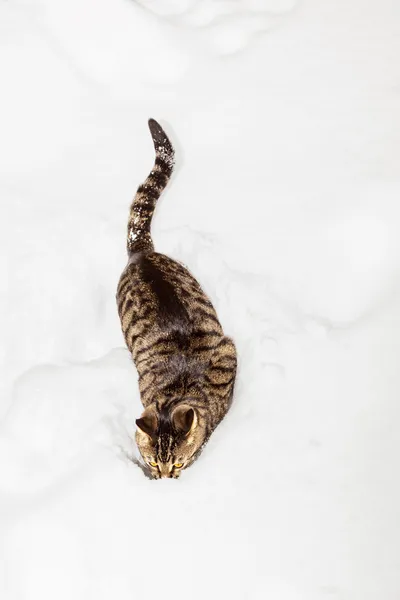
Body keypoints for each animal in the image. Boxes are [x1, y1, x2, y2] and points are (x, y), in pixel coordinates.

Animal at [115, 119, 236, 480]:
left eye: (179, 463)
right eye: (154, 462)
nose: (166, 480)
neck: (179, 390)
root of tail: (142, 252)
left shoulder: (230, 353)